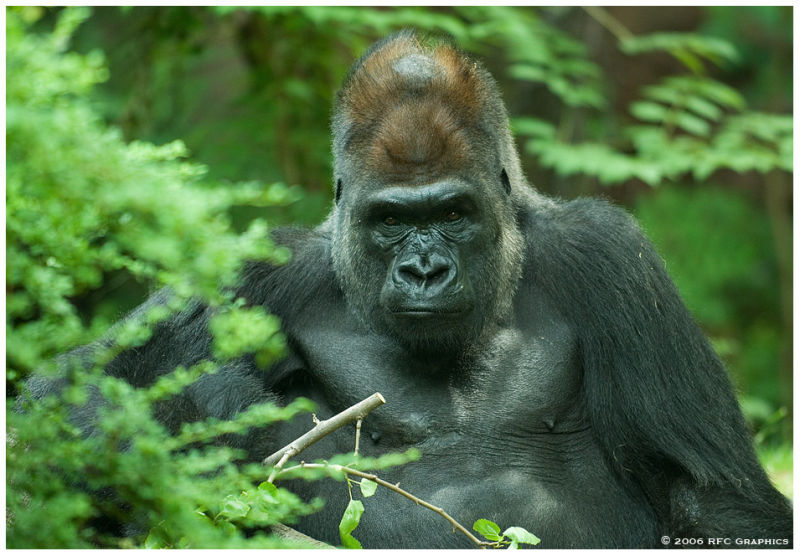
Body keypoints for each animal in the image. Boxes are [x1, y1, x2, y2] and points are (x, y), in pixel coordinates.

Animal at [28, 32, 792, 548]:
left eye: (452, 213)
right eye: (392, 222)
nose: (425, 270)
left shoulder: (610, 255)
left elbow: (716, 497)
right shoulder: (260, 270)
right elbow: (65, 401)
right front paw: (211, 411)